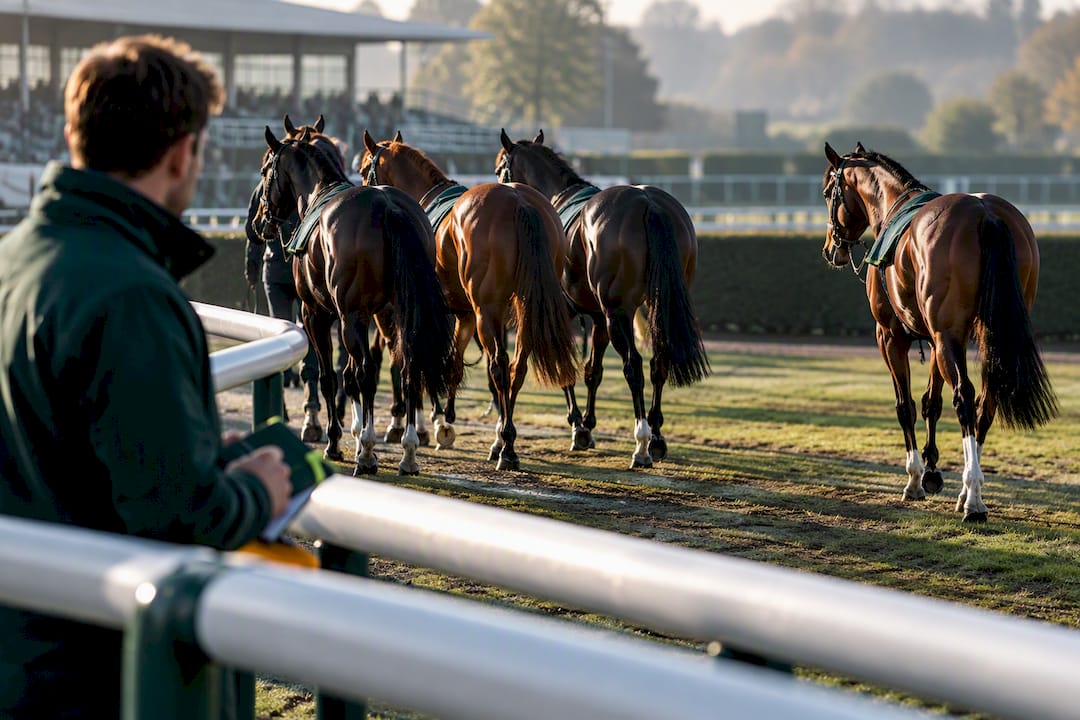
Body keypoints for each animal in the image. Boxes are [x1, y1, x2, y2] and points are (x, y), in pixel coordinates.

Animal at [252, 121, 456, 476]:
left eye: (266, 168)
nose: (259, 221)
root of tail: (388, 207)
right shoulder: (369, 316)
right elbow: (350, 377)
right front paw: (360, 436)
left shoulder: (317, 314)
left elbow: (330, 377)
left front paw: (338, 441)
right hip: (398, 313)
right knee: (408, 368)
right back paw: (408, 452)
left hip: (351, 317)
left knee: (366, 373)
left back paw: (368, 454)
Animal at [358, 130, 579, 471]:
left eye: (362, 169)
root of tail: (520, 201)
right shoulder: (464, 314)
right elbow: (452, 364)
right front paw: (444, 421)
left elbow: (415, 360)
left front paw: (426, 423)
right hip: (521, 309)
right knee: (516, 366)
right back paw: (503, 440)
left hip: (487, 311)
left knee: (499, 366)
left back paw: (507, 448)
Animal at [495, 129, 710, 469]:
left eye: (499, 169)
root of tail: (648, 203)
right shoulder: (596, 318)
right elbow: (592, 371)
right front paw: (585, 425)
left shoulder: (570, 313)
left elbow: (567, 370)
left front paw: (578, 425)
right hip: (653, 306)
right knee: (658, 361)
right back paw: (656, 436)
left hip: (617, 312)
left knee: (633, 366)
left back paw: (641, 443)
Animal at [820, 141, 1057, 522]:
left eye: (828, 192)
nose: (831, 247)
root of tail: (985, 213)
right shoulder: (936, 338)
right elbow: (932, 402)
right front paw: (932, 472)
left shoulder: (891, 337)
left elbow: (906, 405)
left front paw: (916, 478)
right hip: (982, 337)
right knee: (986, 401)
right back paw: (967, 492)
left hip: (945, 338)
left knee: (965, 397)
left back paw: (973, 497)